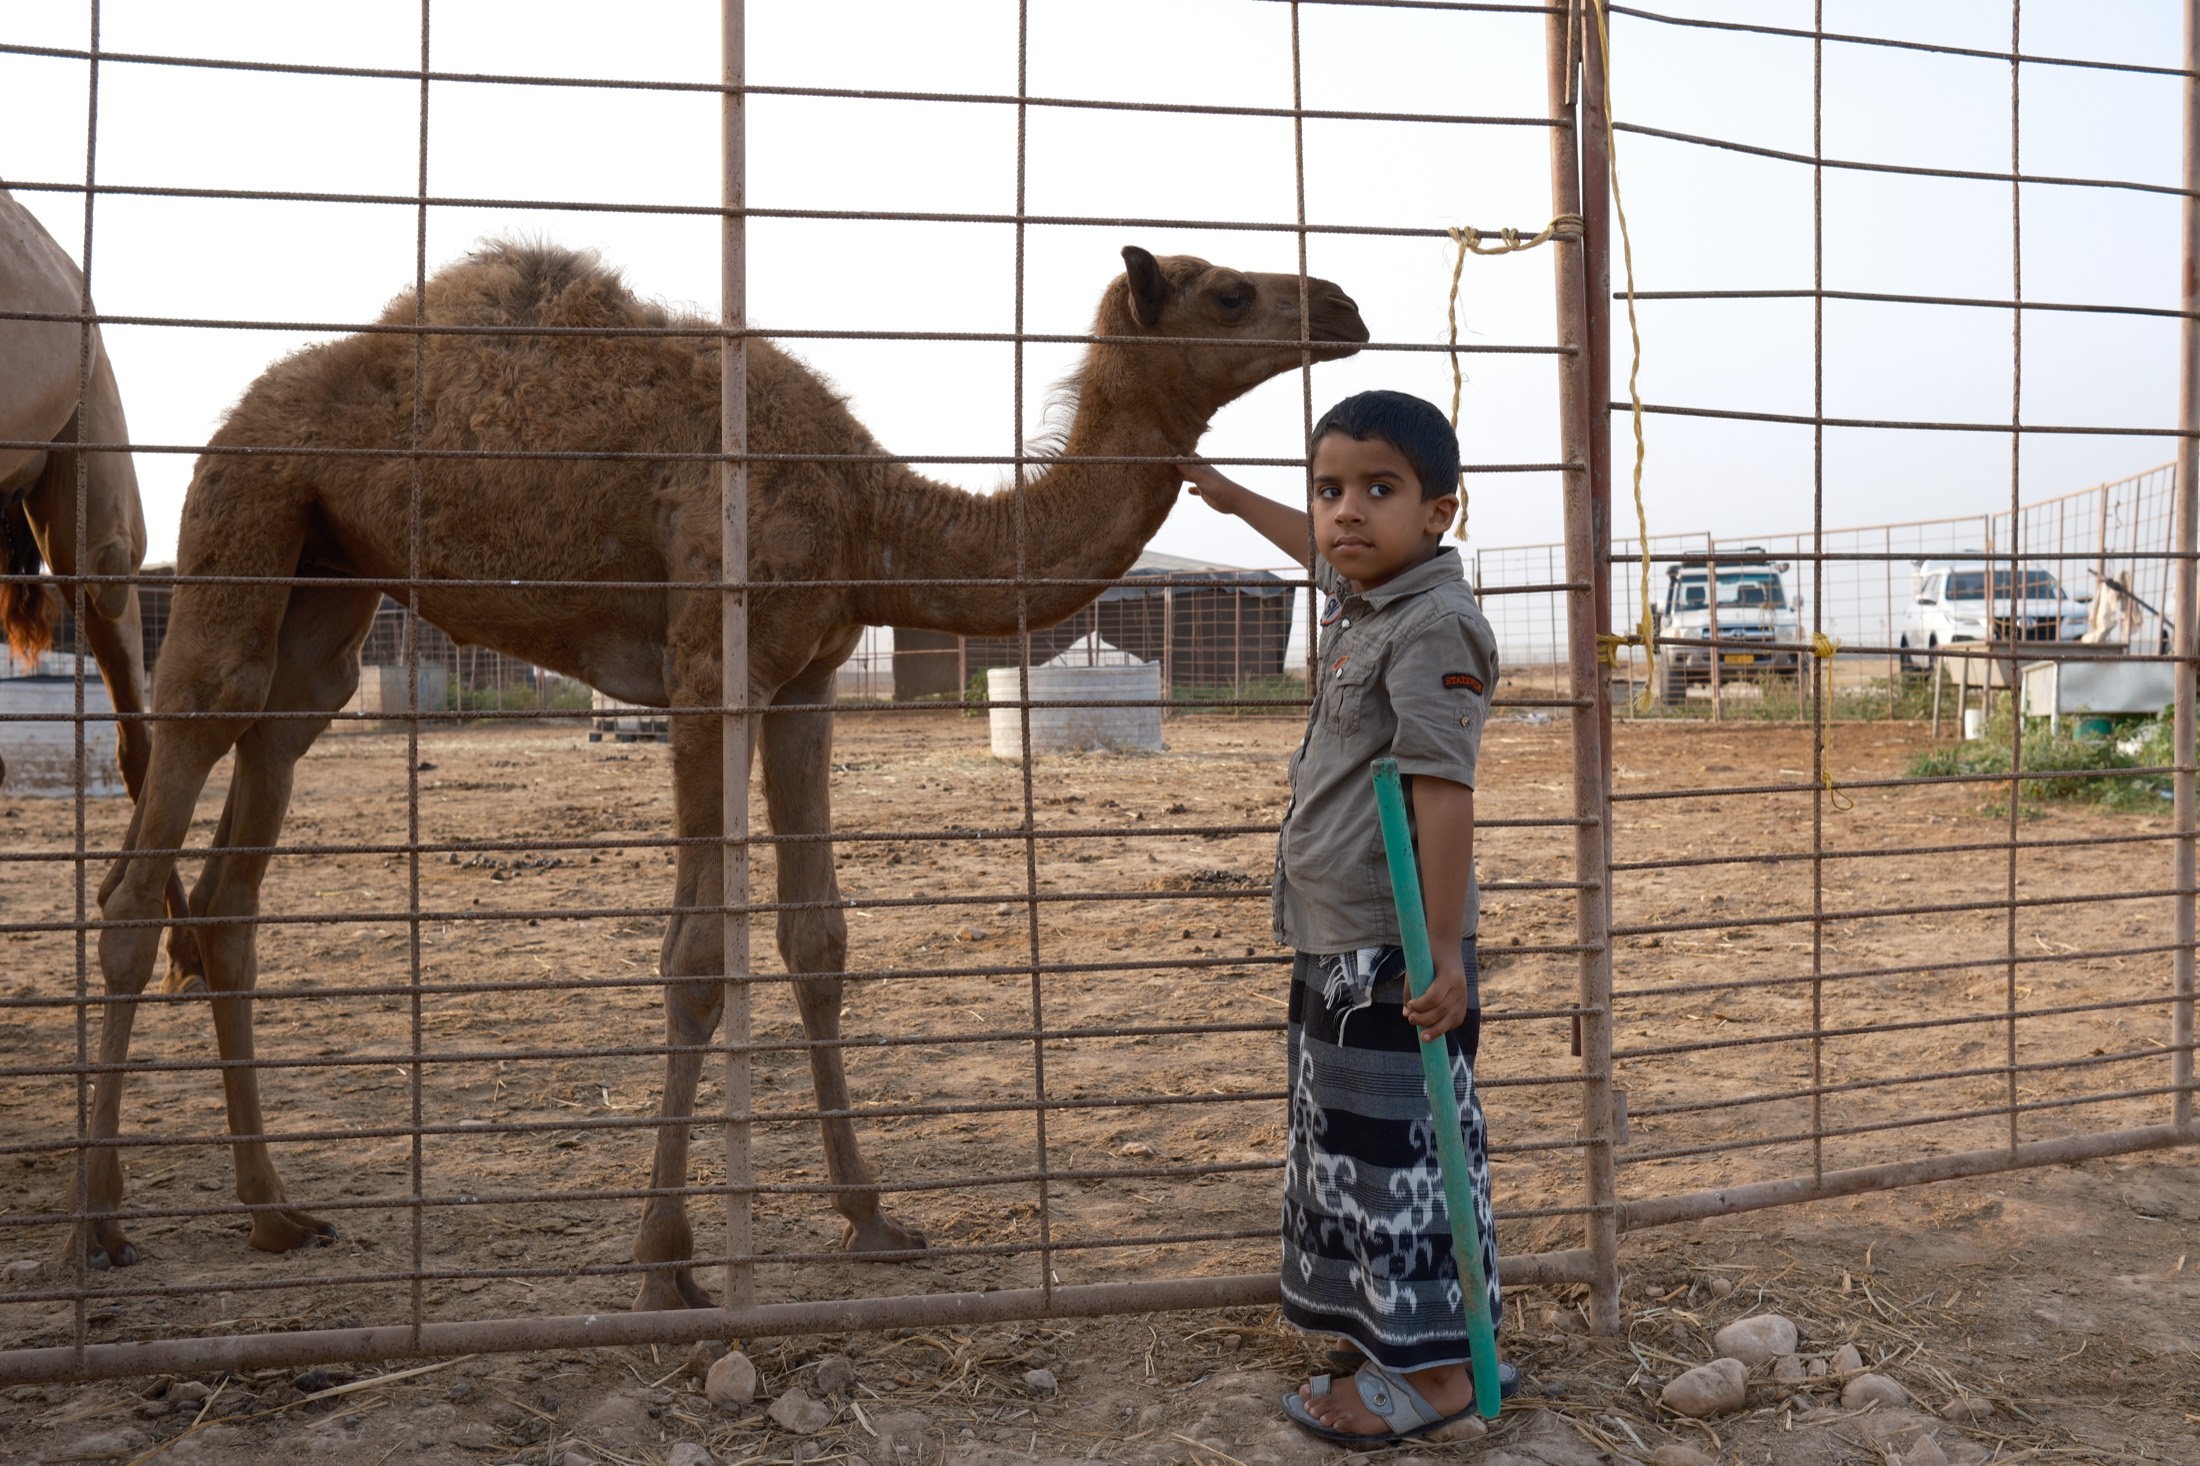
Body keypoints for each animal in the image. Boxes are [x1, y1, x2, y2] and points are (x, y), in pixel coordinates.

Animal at [88, 239, 1367, 1307]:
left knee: (239, 868)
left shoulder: (804, 680)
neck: (871, 512)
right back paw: (97, 1229)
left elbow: (818, 937)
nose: (1345, 306)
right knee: (157, 829)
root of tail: (250, 407)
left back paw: (273, 1211)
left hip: (329, 582)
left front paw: (871, 1218)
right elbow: (697, 955)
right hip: (246, 511)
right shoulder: (714, 664)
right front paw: (666, 1256)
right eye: (1229, 290)